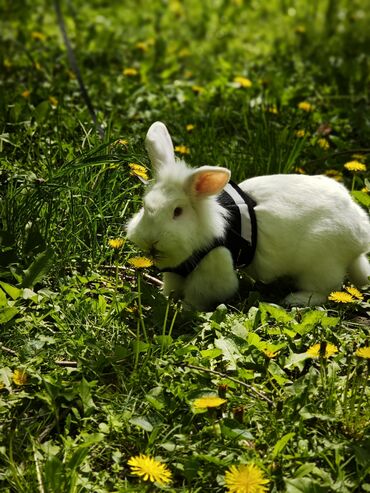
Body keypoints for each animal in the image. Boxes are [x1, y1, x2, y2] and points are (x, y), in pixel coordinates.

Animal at [126, 121, 370, 310]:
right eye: (145, 206)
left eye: (177, 212)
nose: (151, 241)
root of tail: (359, 233)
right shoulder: (177, 273)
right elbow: (172, 287)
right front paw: (167, 300)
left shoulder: (212, 270)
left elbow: (200, 296)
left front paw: (185, 308)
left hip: (320, 265)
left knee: (323, 290)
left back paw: (295, 299)